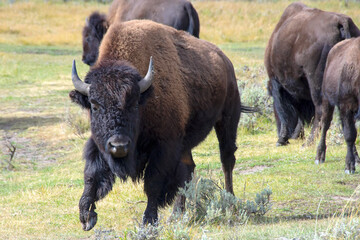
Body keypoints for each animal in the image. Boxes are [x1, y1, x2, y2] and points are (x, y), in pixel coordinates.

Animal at [69, 20, 250, 231]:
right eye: (94, 105)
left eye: (133, 104)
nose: (119, 145)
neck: (146, 96)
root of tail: (225, 61)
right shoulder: (99, 144)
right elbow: (91, 175)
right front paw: (86, 216)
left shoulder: (164, 146)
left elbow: (153, 183)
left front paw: (148, 221)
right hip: (187, 141)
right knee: (189, 168)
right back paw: (177, 214)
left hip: (227, 119)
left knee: (226, 159)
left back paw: (230, 202)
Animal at [264, 2, 360, 146]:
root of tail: (341, 22)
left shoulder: (277, 83)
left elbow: (284, 110)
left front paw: (282, 139)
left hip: (316, 81)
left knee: (320, 110)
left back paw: (308, 142)